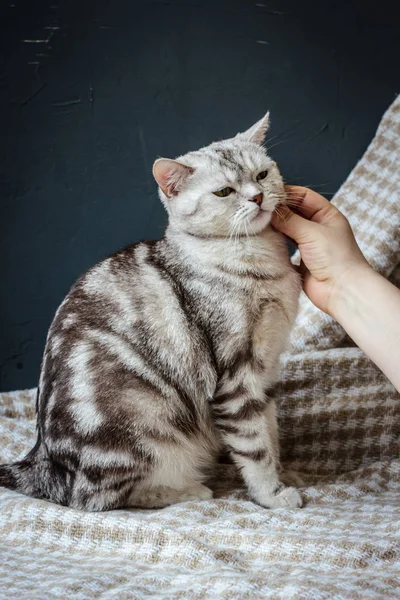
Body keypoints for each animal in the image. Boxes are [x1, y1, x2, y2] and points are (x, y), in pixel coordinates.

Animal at [0, 112, 302, 510]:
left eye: (262, 174)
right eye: (224, 192)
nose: (258, 196)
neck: (260, 265)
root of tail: (44, 462)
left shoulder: (265, 370)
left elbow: (271, 433)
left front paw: (284, 474)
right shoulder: (236, 375)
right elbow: (255, 446)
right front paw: (271, 494)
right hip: (145, 428)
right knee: (99, 497)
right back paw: (188, 489)